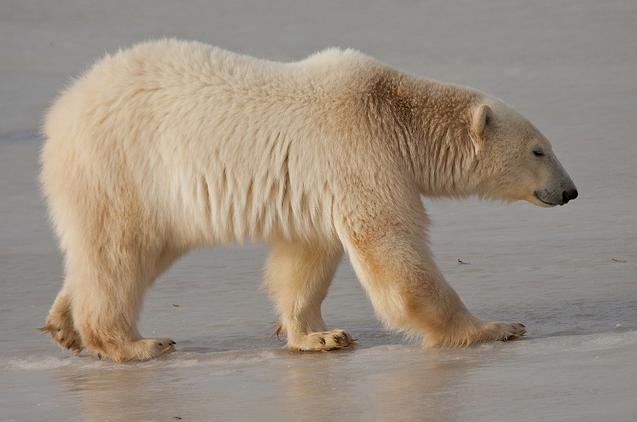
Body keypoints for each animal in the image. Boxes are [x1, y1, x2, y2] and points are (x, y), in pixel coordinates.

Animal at [39, 40, 576, 362]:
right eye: (539, 149)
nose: (570, 190)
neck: (396, 114)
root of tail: (61, 111)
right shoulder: (359, 148)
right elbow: (392, 252)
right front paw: (496, 327)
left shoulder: (321, 180)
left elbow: (304, 257)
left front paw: (319, 335)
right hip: (122, 166)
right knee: (118, 253)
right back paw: (135, 343)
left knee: (125, 253)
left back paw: (64, 324)